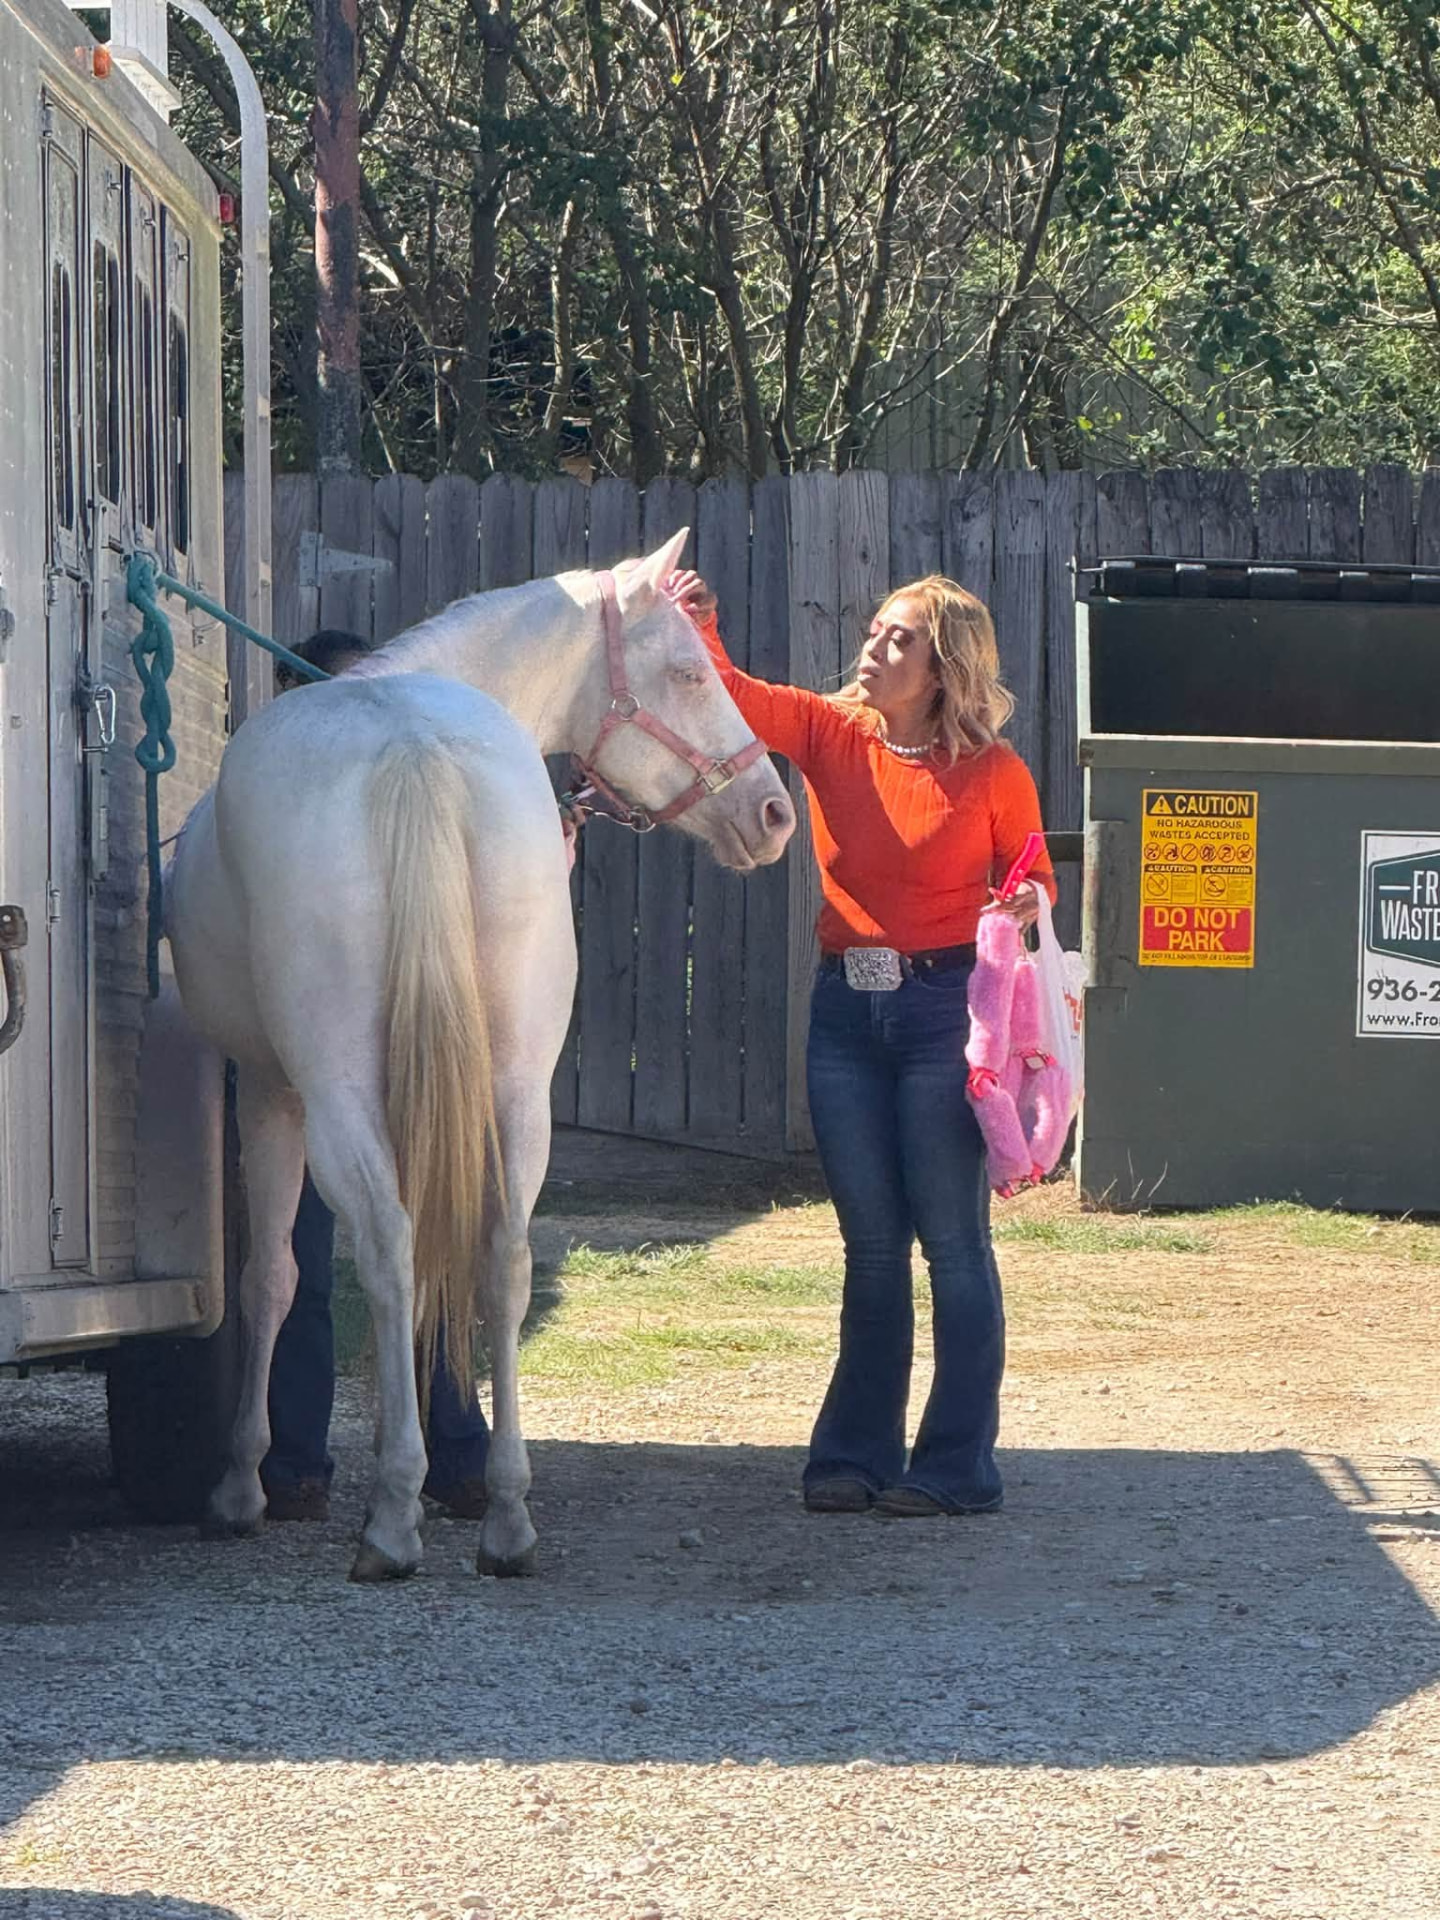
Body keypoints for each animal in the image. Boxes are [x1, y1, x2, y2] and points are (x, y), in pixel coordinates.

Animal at [165, 530, 795, 1581]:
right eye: (688, 670)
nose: (776, 813)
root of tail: (412, 747)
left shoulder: (270, 1093)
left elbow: (272, 1280)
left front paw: (242, 1484)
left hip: (339, 1090)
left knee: (388, 1248)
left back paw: (391, 1520)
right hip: (512, 1089)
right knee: (499, 1255)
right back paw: (502, 1514)